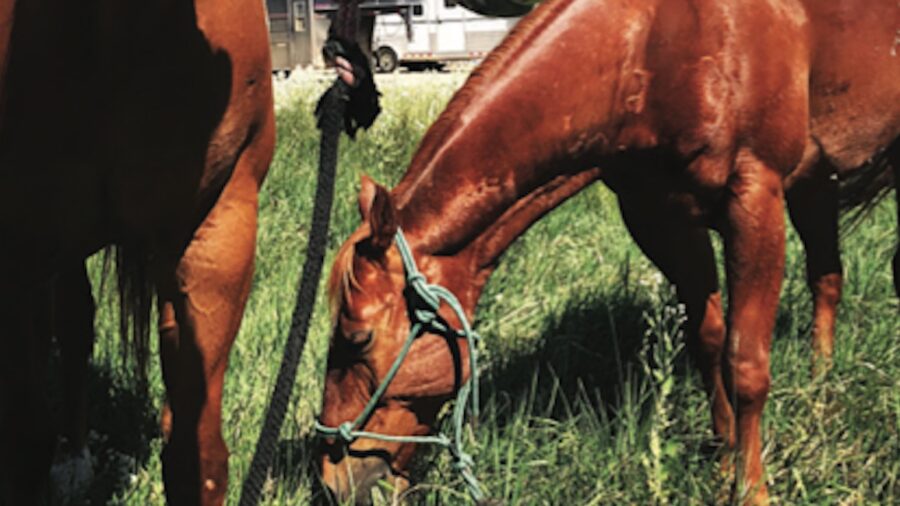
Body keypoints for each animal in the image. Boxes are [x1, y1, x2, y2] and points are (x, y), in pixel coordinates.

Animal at [315, 0, 899, 503]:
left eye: (358, 339)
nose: (331, 482)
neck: (659, 40)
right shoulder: (661, 217)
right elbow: (708, 341)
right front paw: (724, 457)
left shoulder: (754, 200)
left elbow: (746, 363)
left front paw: (750, 489)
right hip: (815, 182)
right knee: (828, 277)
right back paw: (822, 383)